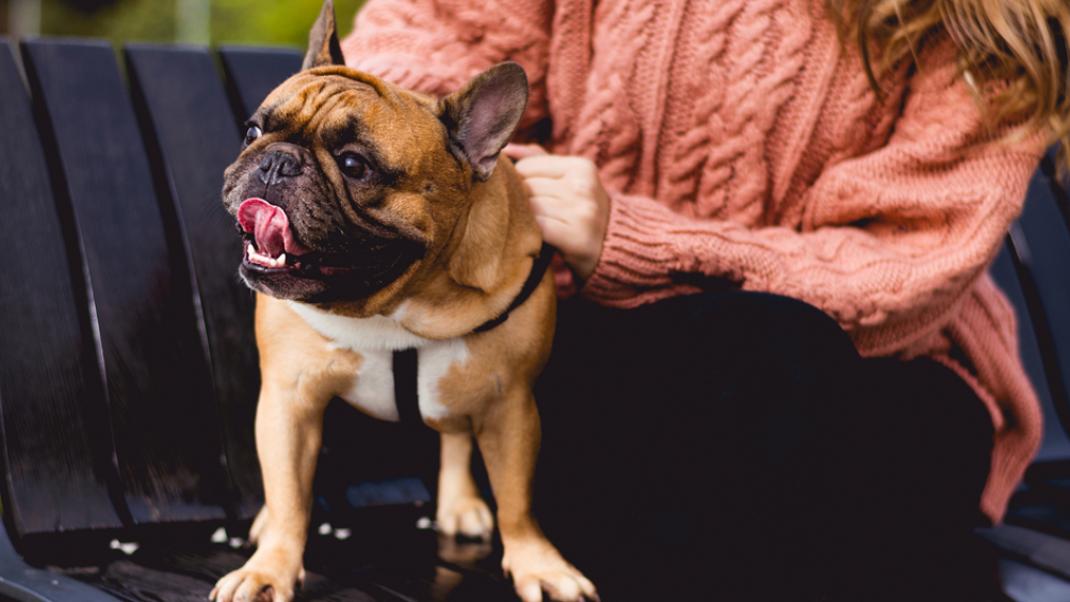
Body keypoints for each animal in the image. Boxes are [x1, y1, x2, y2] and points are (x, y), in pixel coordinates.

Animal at [207, 2, 594, 598]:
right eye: (253, 130)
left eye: (354, 165)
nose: (276, 162)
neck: (397, 306)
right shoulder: (289, 398)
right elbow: (290, 494)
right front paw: (268, 569)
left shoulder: (510, 404)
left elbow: (517, 500)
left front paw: (540, 565)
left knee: (455, 436)